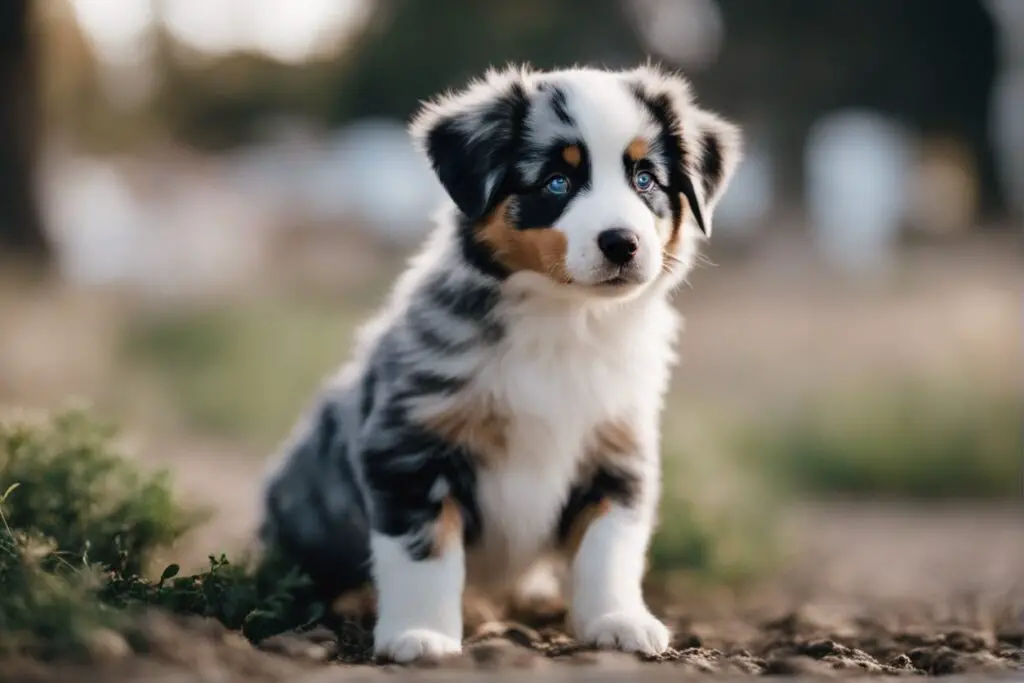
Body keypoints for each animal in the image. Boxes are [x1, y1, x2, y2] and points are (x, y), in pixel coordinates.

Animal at [262, 62, 745, 663]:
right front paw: (421, 635)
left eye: (645, 180)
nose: (622, 243)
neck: (564, 321)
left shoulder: (617, 450)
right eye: (557, 182)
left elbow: (610, 547)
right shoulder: (410, 446)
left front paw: (618, 620)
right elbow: (425, 552)